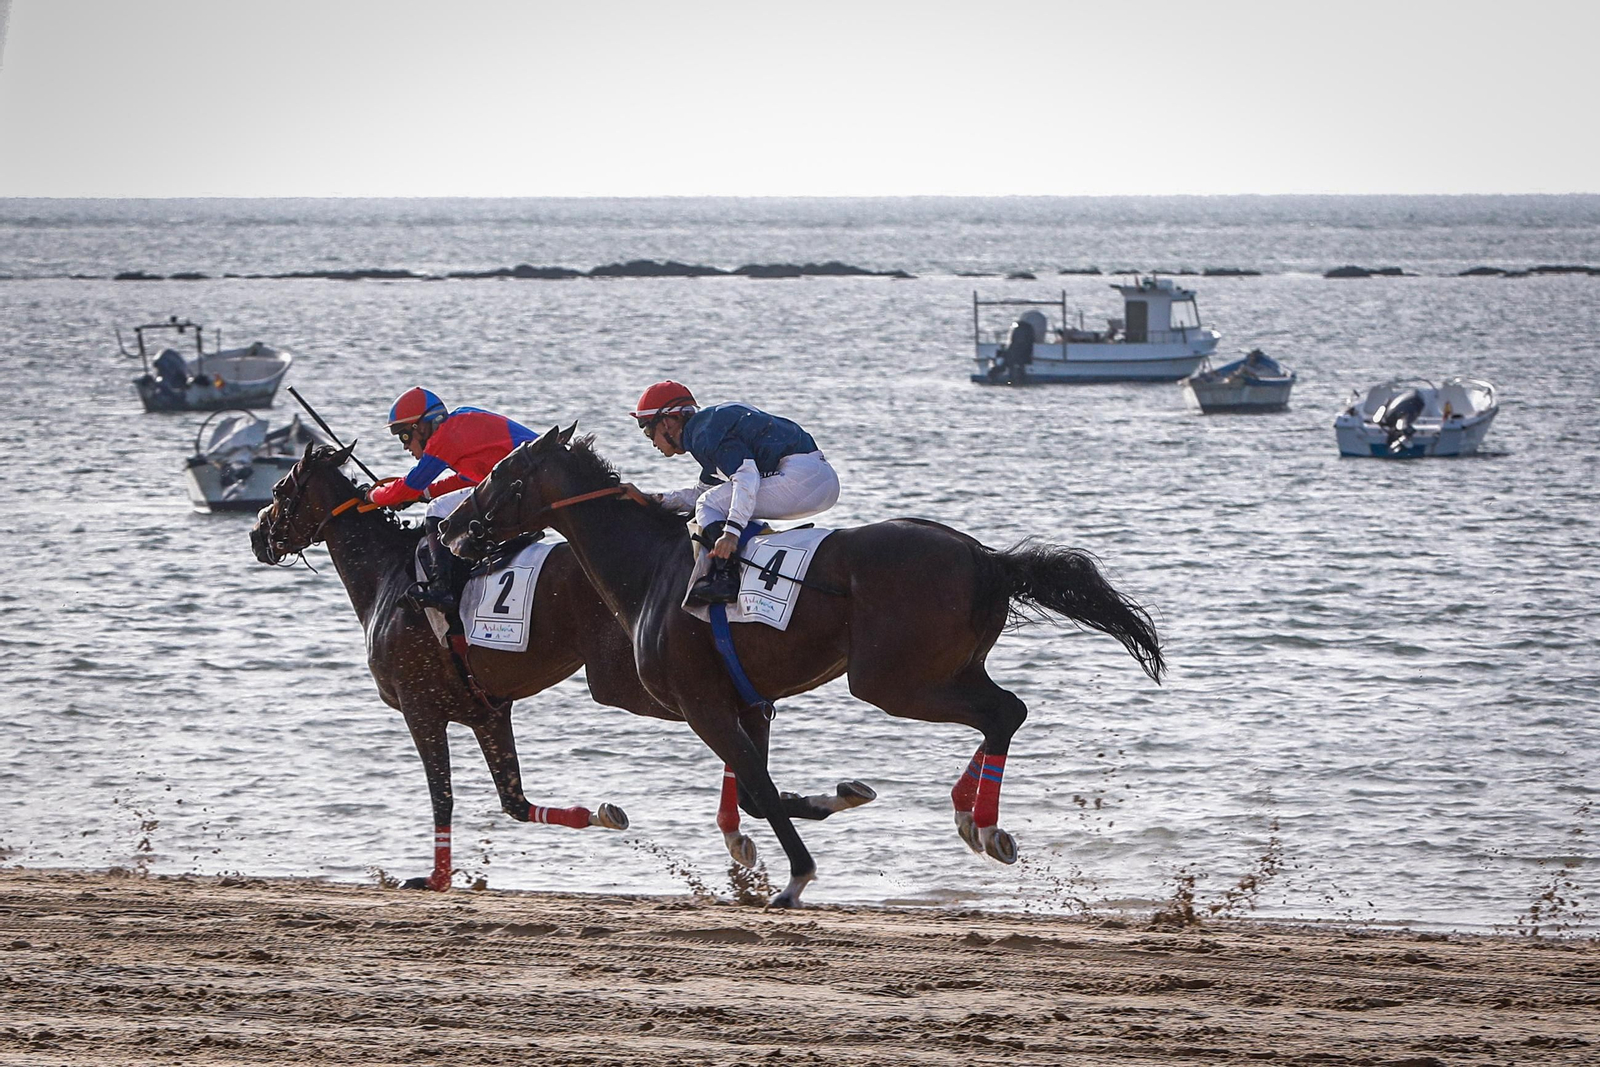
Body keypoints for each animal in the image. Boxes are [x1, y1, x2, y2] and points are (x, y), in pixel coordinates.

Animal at [249, 442, 876, 891]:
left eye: (280, 489)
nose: (258, 535)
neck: (389, 576)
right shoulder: (487, 712)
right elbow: (515, 802)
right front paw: (601, 814)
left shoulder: (418, 707)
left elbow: (443, 797)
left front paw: (436, 877)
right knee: (744, 730)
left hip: (624, 680)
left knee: (735, 728)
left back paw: (744, 828)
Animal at [439, 426, 1166, 907]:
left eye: (501, 474)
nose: (451, 529)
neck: (653, 570)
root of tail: (986, 557)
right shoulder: (750, 700)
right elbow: (757, 791)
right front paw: (836, 799)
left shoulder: (703, 704)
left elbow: (759, 790)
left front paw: (793, 878)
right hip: (943, 668)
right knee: (1004, 712)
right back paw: (973, 818)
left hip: (893, 680)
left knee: (1002, 712)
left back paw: (981, 822)